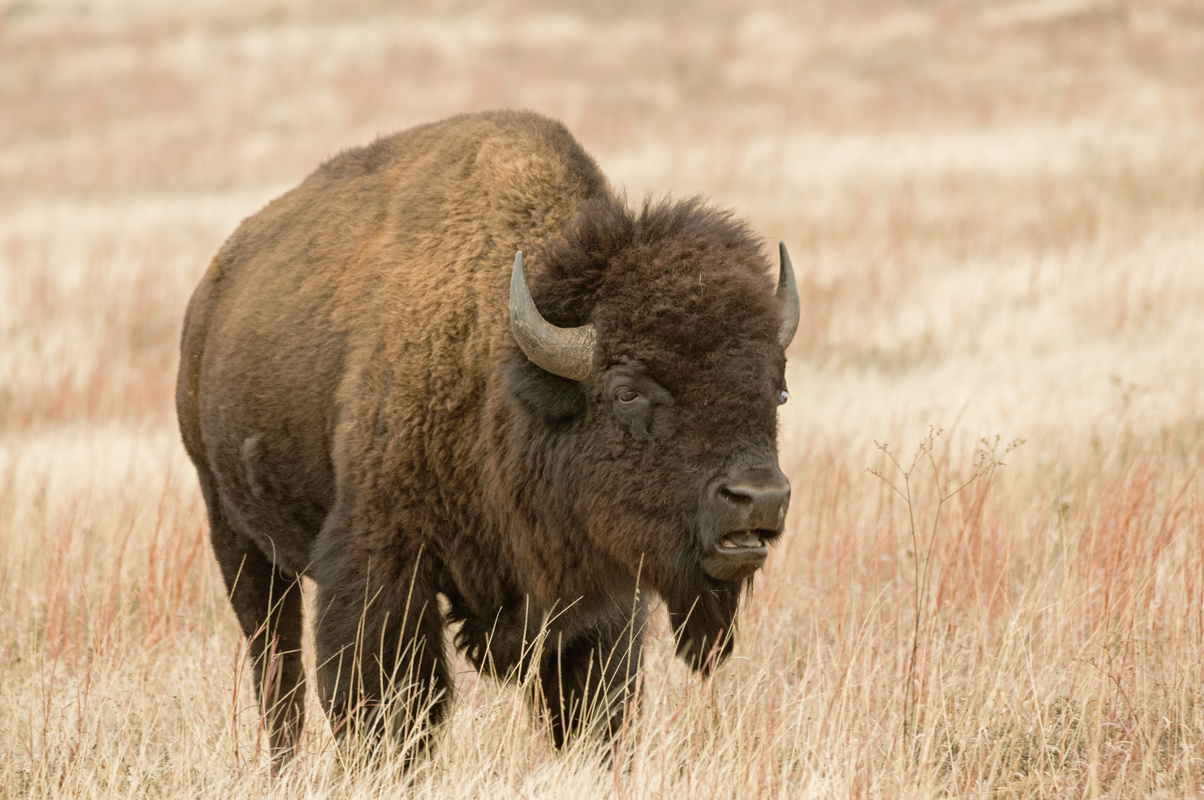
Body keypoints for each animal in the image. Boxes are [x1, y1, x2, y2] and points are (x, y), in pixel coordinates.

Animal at [175, 109, 799, 761]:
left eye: (778, 390)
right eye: (627, 391)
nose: (759, 498)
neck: (503, 376)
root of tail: (210, 294)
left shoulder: (602, 598)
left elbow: (592, 705)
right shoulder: (382, 565)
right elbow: (390, 703)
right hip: (237, 539)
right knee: (277, 669)